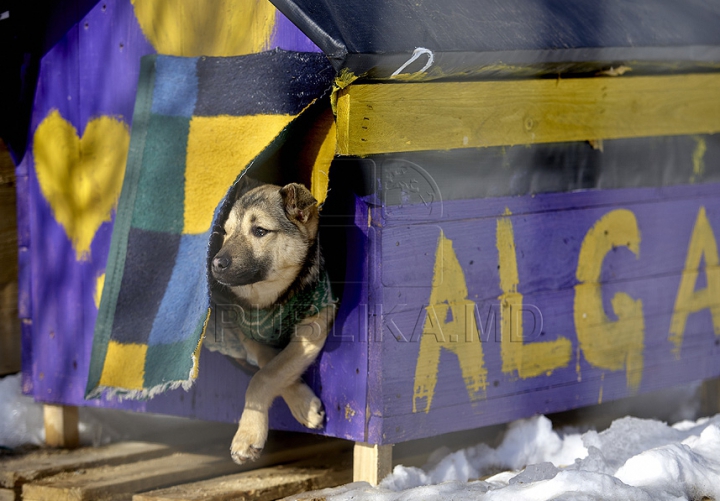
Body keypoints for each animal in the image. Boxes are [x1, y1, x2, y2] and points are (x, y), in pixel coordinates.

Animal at [205, 181, 334, 464]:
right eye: (226, 232)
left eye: (260, 231)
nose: (215, 264)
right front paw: (303, 403)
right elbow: (267, 365)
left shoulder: (315, 322)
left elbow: (264, 376)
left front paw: (247, 435)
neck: (271, 300)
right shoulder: (248, 337)